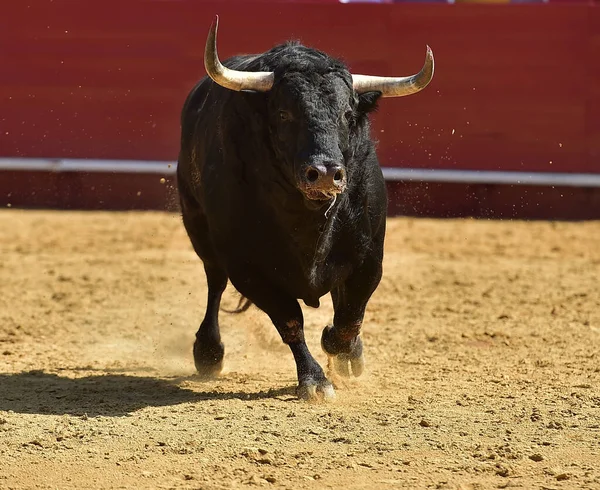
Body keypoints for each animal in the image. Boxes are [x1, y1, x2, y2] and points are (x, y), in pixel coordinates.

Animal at [176, 19, 434, 402]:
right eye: (284, 113)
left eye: (347, 114)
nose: (325, 172)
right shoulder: (248, 267)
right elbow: (290, 320)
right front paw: (315, 380)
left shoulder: (369, 257)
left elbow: (350, 316)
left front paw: (345, 352)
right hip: (198, 227)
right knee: (215, 281)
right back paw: (208, 352)